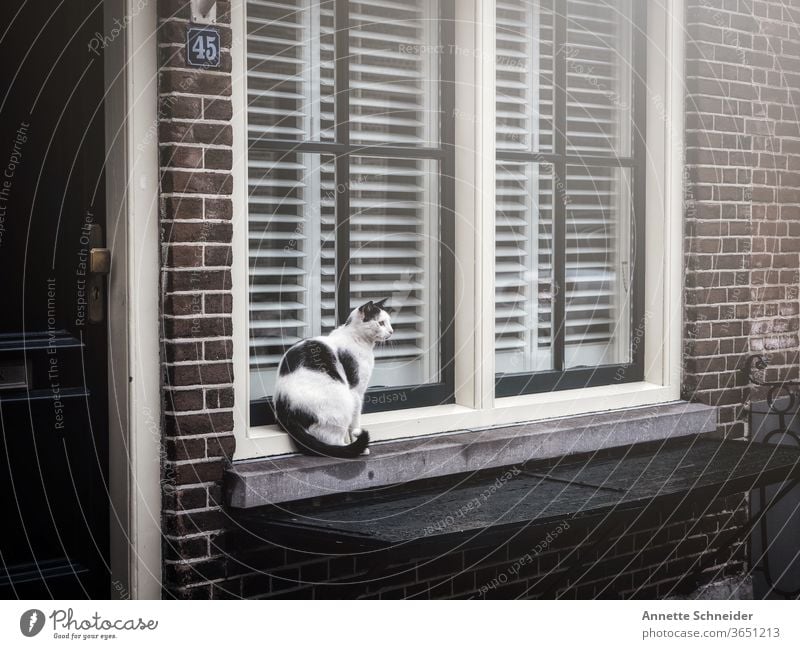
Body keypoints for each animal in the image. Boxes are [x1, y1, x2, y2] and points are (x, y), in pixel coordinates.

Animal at [272, 298, 394, 456]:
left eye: (389, 322)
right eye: (381, 323)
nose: (391, 331)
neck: (356, 338)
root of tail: (286, 410)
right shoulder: (356, 392)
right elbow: (355, 422)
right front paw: (356, 440)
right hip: (344, 402)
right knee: (334, 442)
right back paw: (352, 448)